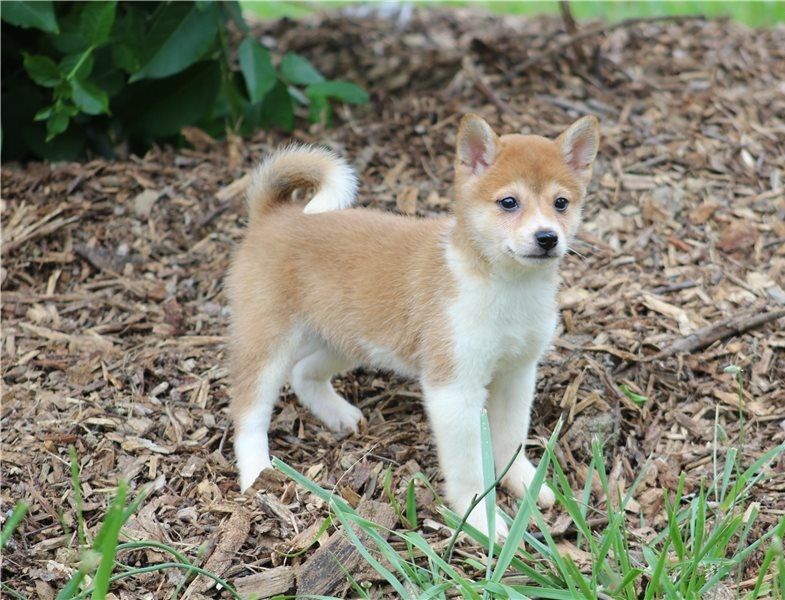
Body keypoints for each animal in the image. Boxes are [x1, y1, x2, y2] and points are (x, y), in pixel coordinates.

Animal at [227, 115, 600, 536]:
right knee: (249, 412)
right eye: (509, 202)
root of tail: (272, 215)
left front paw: (523, 483)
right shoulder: (453, 389)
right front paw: (482, 521)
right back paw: (257, 472)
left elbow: (511, 438)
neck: (507, 288)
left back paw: (339, 415)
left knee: (304, 372)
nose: (547, 237)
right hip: (269, 344)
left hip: (349, 340)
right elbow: (468, 468)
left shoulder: (517, 374)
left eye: (561, 203)